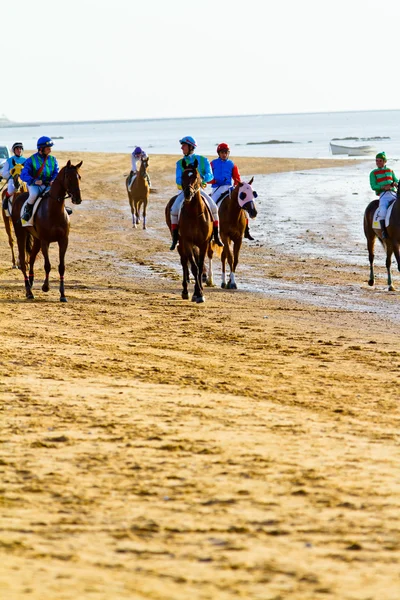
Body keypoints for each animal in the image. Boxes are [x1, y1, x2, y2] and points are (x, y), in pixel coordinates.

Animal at [11, 161, 82, 302]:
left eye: (79, 177)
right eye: (69, 177)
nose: (78, 198)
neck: (54, 210)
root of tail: (19, 197)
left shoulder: (63, 241)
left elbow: (61, 267)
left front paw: (63, 294)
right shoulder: (45, 241)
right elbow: (47, 265)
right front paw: (45, 287)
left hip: (37, 239)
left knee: (32, 257)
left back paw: (31, 282)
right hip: (21, 234)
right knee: (23, 260)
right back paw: (29, 291)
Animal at [165, 159, 212, 302]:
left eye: (196, 176)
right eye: (182, 176)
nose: (187, 193)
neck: (194, 214)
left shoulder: (203, 243)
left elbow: (200, 265)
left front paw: (200, 292)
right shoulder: (187, 241)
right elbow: (194, 267)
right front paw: (197, 293)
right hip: (180, 241)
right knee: (184, 261)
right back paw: (185, 290)